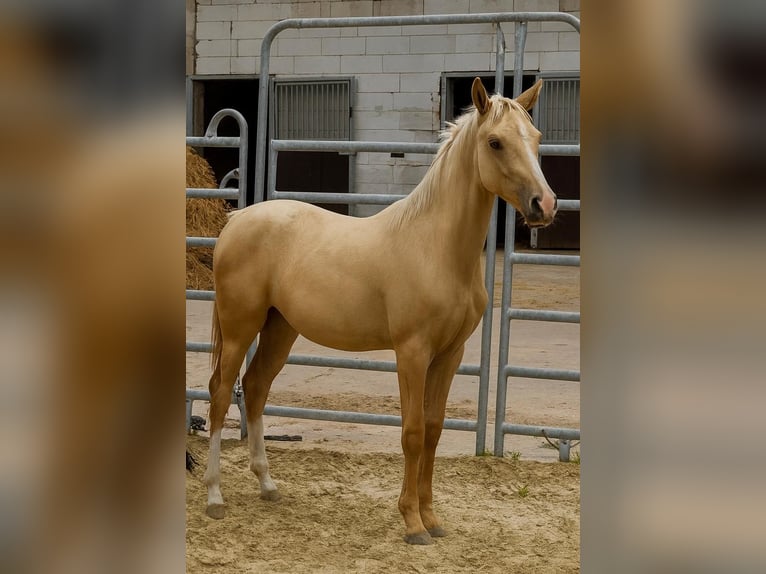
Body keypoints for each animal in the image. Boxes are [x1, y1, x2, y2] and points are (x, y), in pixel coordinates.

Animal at [203, 77, 557, 545]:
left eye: (535, 138)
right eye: (495, 142)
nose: (544, 205)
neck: (437, 248)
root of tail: (237, 220)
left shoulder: (450, 355)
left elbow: (434, 430)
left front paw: (432, 518)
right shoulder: (411, 352)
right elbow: (412, 432)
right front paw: (412, 523)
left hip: (280, 329)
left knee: (256, 388)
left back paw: (267, 485)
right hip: (240, 327)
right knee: (221, 394)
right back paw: (214, 497)